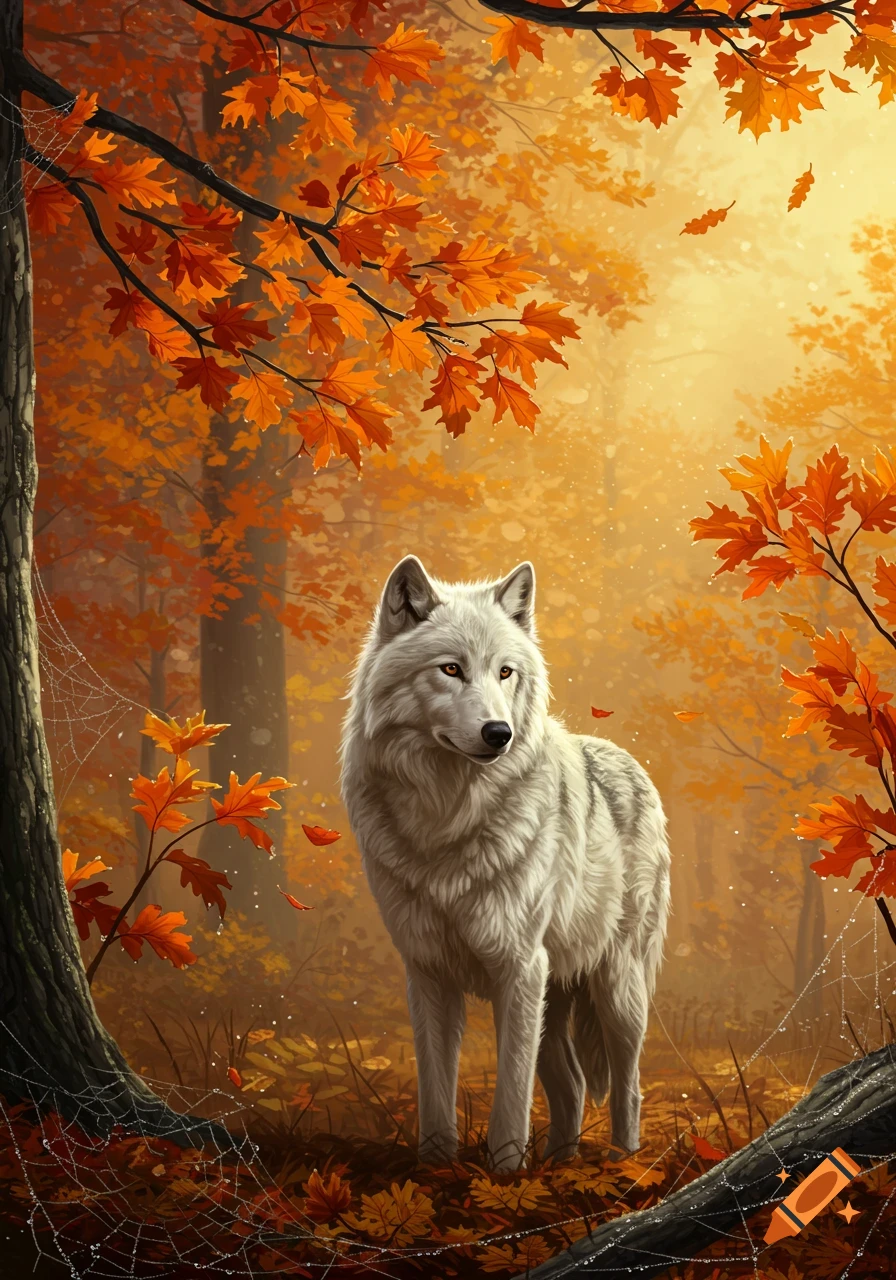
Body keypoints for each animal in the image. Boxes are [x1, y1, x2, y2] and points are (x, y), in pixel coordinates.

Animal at [340, 556, 671, 1171]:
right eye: (450, 669)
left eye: (505, 673)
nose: (500, 733)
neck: (446, 819)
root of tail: (624, 756)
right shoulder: (427, 972)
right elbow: (435, 1085)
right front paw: (436, 1166)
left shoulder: (519, 966)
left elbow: (512, 1088)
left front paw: (506, 1171)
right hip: (556, 994)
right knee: (573, 1084)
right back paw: (561, 1164)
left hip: (616, 989)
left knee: (628, 1084)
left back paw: (622, 1162)